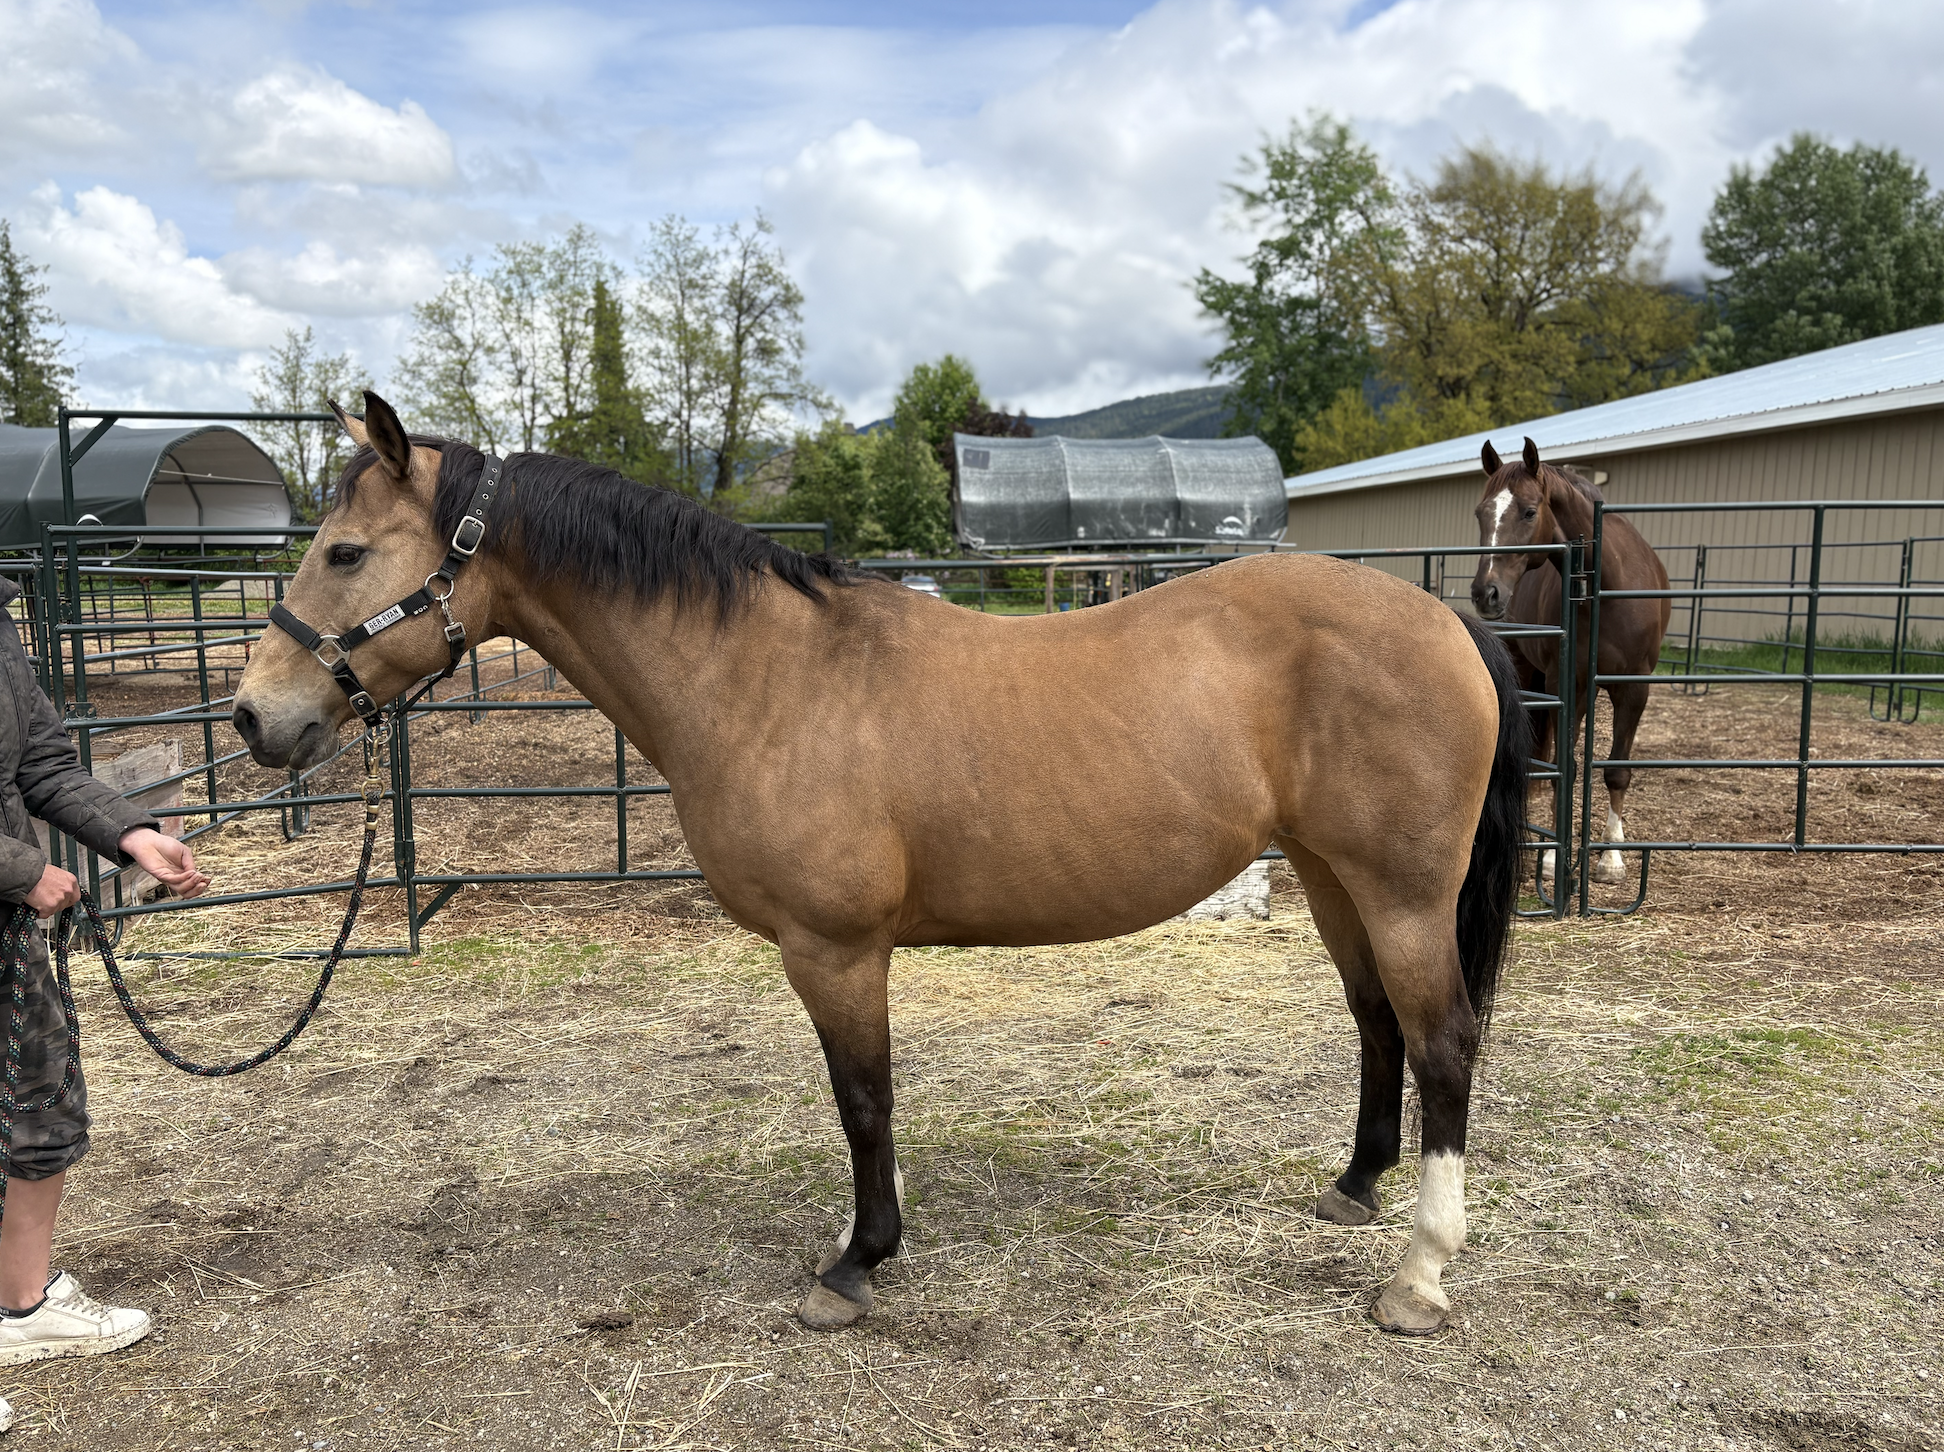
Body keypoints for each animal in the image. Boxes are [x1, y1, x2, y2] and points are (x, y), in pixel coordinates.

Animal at [232, 391, 1531, 1337]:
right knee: (1378, 1024)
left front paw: (856, 1264)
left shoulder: (837, 949)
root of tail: (1445, 619)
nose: (253, 717)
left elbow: (864, 1101)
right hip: (1331, 877)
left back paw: (1418, 1278)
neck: (767, 676)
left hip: (1403, 894)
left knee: (1443, 1043)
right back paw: (1354, 1189)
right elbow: (869, 1101)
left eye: (344, 552)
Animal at [1469, 437, 1671, 888]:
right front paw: (1551, 860)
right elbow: (1565, 768)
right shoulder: (1567, 686)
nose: (1485, 592)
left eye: (1529, 511)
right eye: (1480, 512)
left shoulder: (1634, 687)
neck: (1603, 585)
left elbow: (1616, 771)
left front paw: (1611, 859)